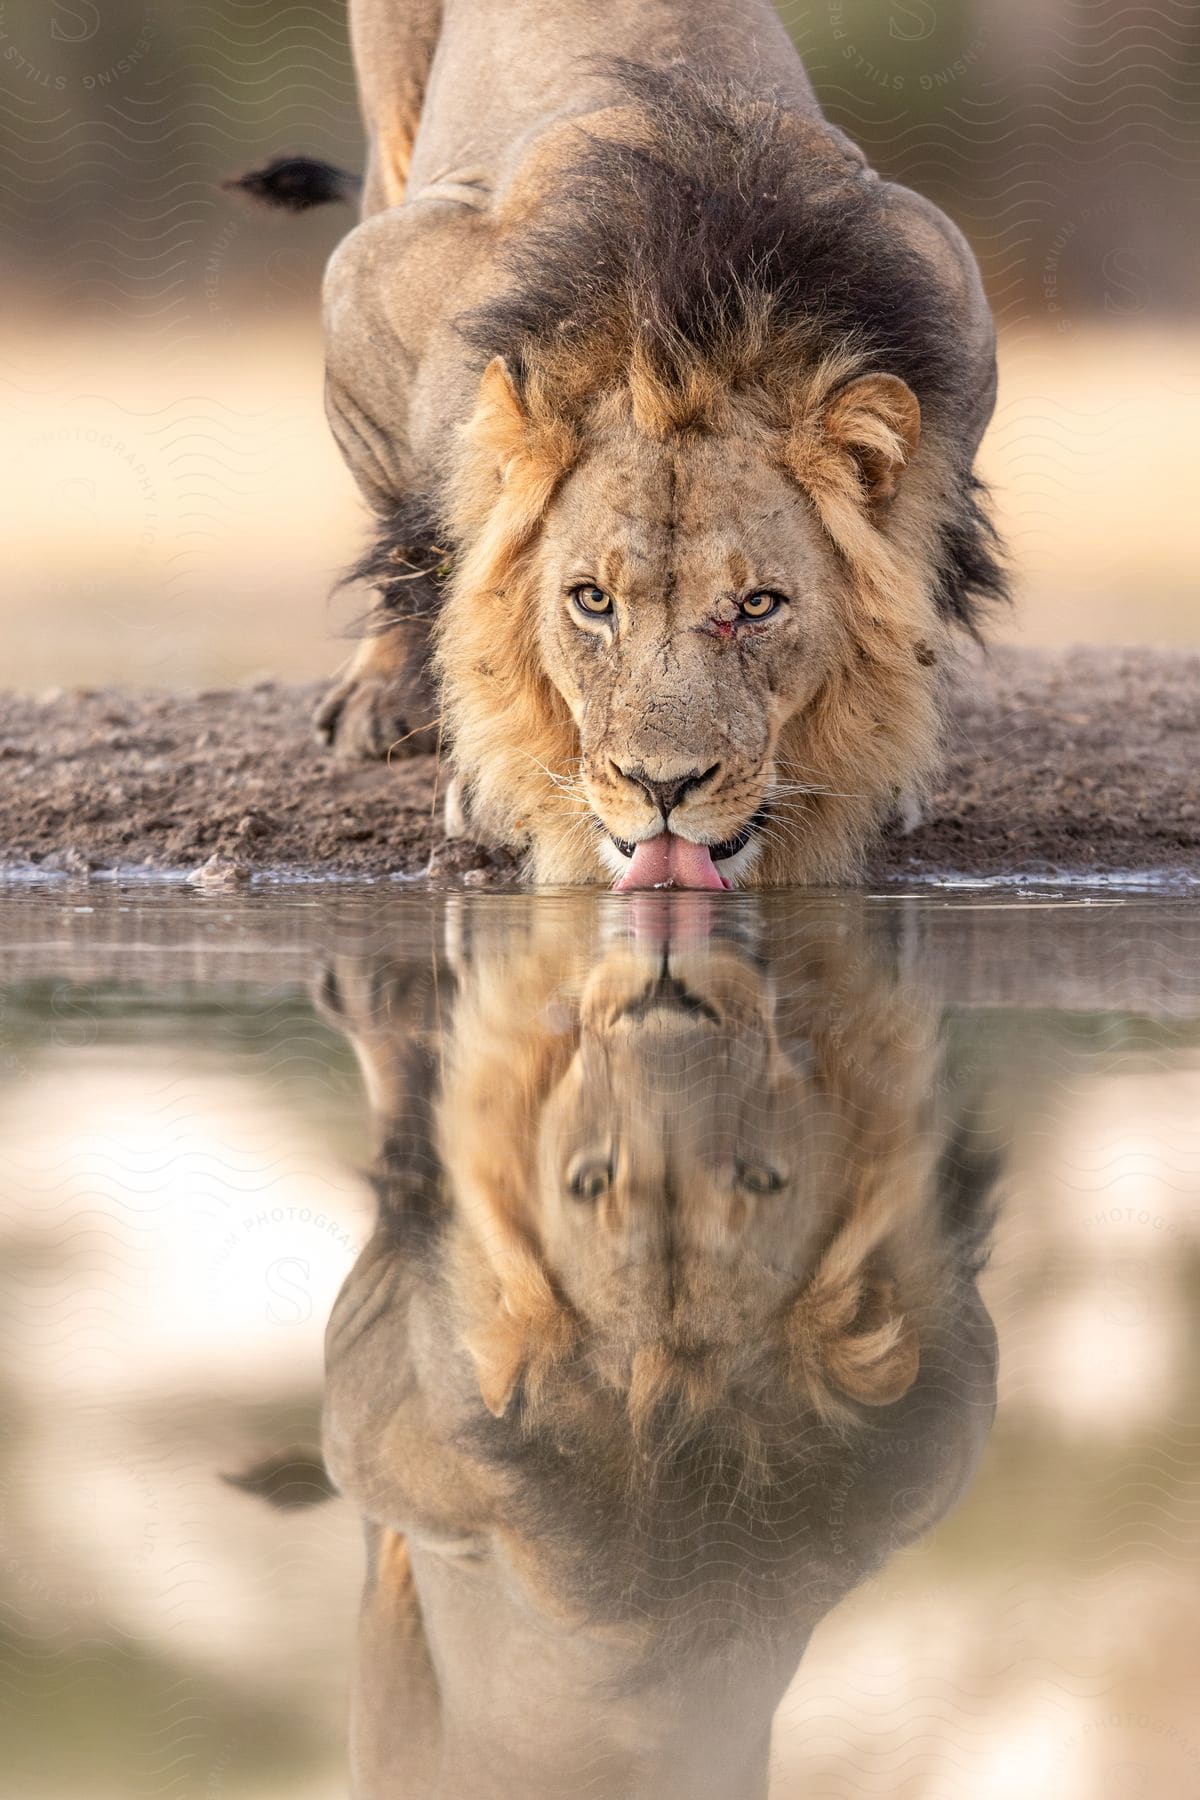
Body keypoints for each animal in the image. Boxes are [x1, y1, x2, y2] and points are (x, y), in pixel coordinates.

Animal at [232, 0, 1007, 885]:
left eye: (757, 606)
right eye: (592, 603)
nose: (662, 787)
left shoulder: (955, 298)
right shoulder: (367, 286)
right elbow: (422, 554)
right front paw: (484, 779)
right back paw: (376, 699)